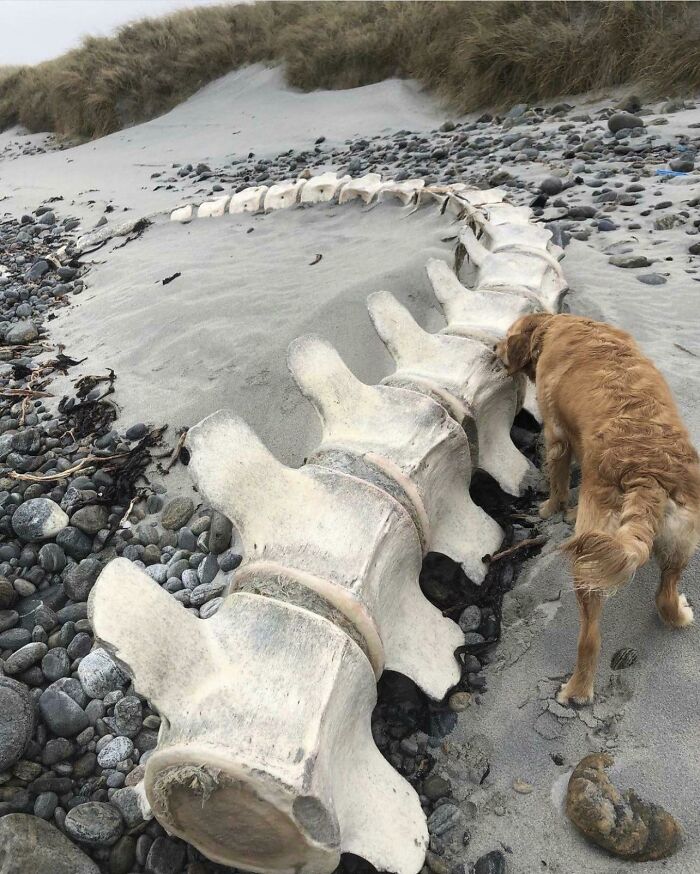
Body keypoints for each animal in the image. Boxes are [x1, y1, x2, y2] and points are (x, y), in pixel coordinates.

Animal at [494, 314, 696, 700]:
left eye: (506, 336)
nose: (493, 349)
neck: (555, 327)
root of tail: (646, 475)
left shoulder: (557, 436)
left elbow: (558, 481)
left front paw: (550, 508)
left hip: (588, 560)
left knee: (590, 639)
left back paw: (576, 689)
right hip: (681, 540)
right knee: (664, 595)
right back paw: (680, 614)